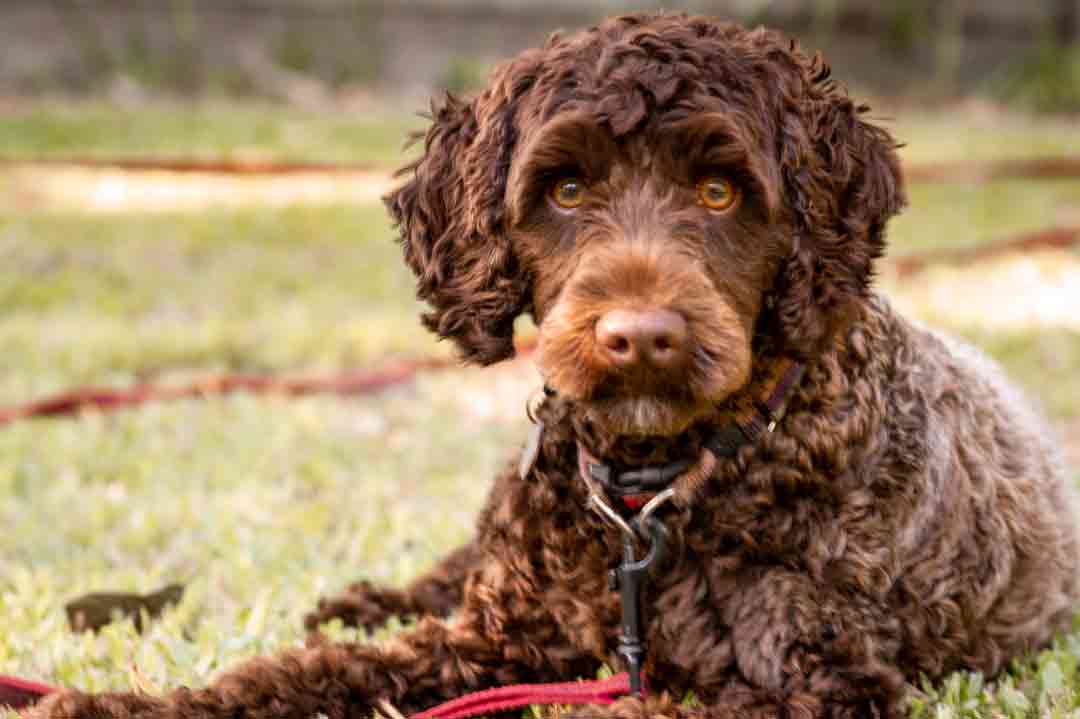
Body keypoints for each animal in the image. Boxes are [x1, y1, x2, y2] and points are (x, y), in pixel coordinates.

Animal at [27, 11, 1080, 716]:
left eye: (720, 191)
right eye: (567, 189)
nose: (640, 336)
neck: (659, 491)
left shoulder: (818, 683)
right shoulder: (496, 639)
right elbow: (306, 677)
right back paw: (359, 600)